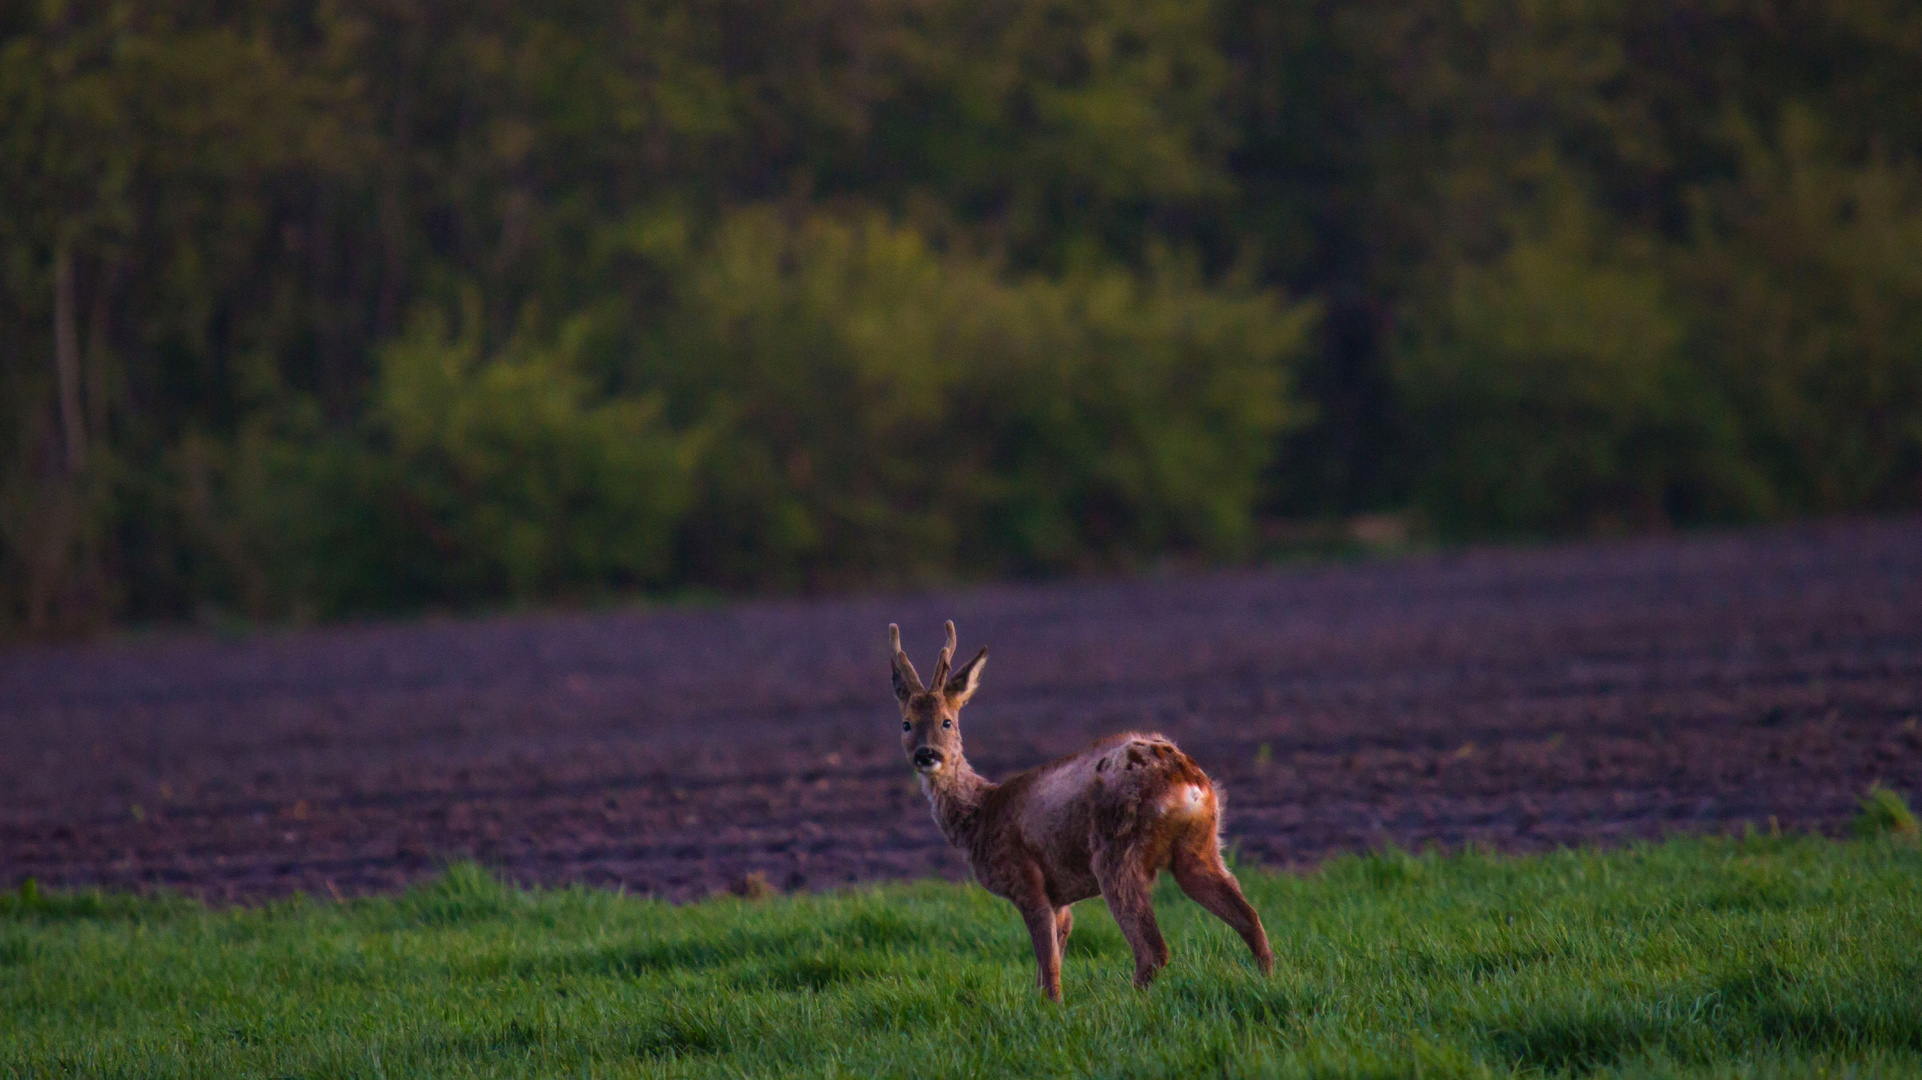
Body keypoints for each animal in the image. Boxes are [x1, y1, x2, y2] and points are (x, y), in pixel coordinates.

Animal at [887, 618, 1276, 999]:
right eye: (906, 723)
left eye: (947, 721)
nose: (926, 754)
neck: (981, 815)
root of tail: (1186, 779)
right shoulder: (1061, 897)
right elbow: (1051, 960)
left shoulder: (1026, 879)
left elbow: (1048, 965)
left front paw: (1051, 1008)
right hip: (1200, 845)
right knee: (1250, 919)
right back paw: (1267, 981)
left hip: (1115, 849)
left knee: (1153, 950)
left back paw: (1125, 1002)